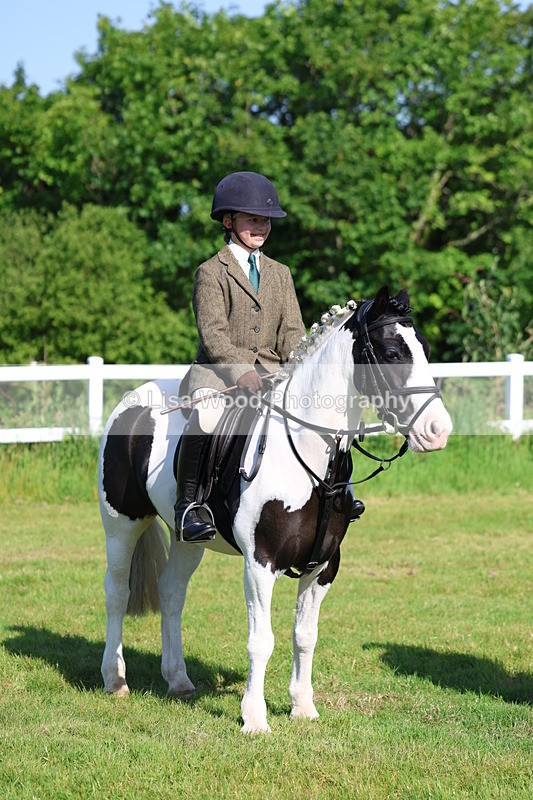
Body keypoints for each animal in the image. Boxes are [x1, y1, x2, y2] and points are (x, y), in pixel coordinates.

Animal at [98, 286, 452, 733]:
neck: (309, 456)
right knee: (117, 592)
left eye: (424, 349)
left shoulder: (324, 566)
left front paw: (302, 707)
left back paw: (178, 680)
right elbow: (261, 640)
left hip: (187, 539)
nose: (438, 432)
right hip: (121, 524)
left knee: (172, 592)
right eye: (391, 353)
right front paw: (254, 718)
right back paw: (115, 679)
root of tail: (131, 401)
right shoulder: (260, 564)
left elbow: (305, 635)